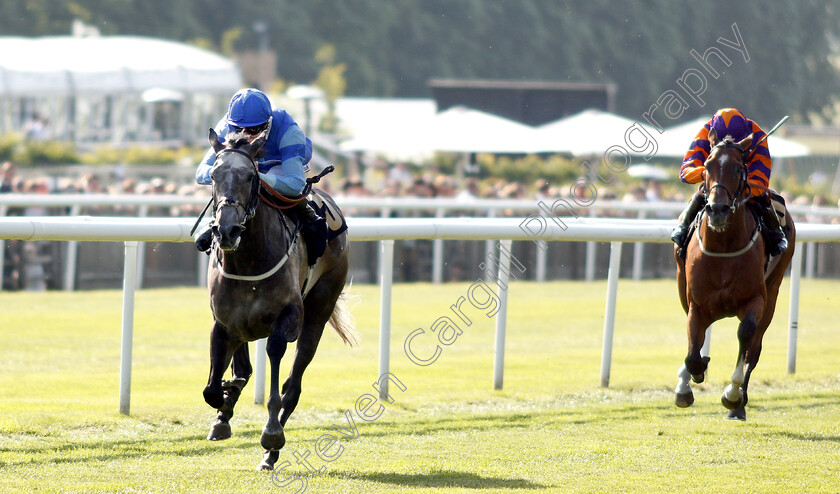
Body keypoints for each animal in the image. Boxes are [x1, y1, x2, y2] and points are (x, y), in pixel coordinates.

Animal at [202, 125, 356, 468]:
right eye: (214, 174)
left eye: (250, 176)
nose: (226, 230)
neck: (248, 260)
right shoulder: (224, 323)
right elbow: (213, 389)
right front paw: (223, 411)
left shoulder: (289, 318)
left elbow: (274, 359)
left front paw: (271, 434)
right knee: (244, 368)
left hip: (321, 303)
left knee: (293, 385)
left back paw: (271, 452)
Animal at [676, 130, 796, 420]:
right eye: (707, 166)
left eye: (738, 168)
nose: (717, 209)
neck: (724, 246)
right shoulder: (696, 303)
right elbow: (693, 351)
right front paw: (691, 380)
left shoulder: (756, 300)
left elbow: (746, 335)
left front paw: (732, 395)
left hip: (773, 292)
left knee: (754, 348)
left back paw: (739, 405)